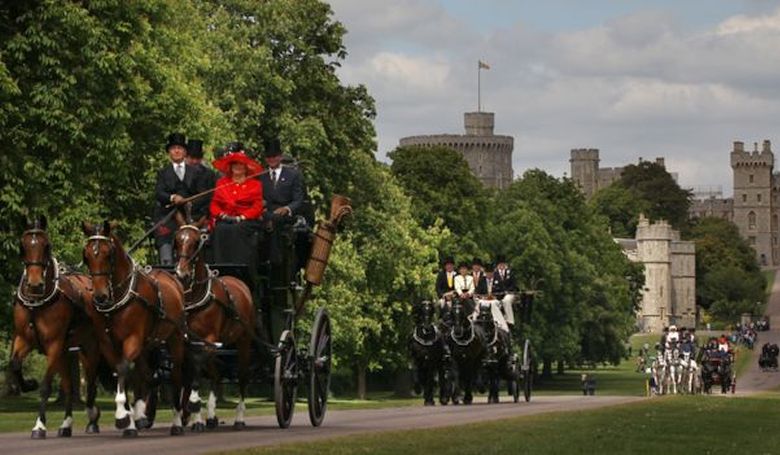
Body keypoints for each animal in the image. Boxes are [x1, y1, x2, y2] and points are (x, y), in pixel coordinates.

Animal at [9, 219, 103, 440]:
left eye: (46, 246)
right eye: (23, 245)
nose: (35, 283)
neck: (37, 303)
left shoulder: (53, 344)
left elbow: (46, 387)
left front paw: (39, 426)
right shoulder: (24, 339)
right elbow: (15, 365)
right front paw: (28, 384)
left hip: (90, 349)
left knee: (91, 383)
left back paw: (92, 418)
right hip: (65, 353)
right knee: (68, 386)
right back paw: (66, 424)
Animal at [81, 221, 189, 438]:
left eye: (108, 255)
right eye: (86, 256)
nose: (100, 297)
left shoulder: (132, 339)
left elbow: (124, 369)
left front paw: (122, 416)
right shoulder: (107, 343)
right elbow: (121, 371)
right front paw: (131, 419)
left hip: (174, 339)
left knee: (175, 376)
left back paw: (176, 422)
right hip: (147, 344)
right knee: (145, 374)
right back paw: (141, 413)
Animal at [171, 217, 254, 432]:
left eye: (195, 242)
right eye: (178, 240)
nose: (181, 273)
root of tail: (239, 282)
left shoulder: (208, 341)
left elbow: (196, 372)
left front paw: (193, 405)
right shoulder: (190, 343)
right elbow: (190, 372)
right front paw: (193, 416)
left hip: (244, 342)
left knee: (242, 377)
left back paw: (239, 418)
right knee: (216, 374)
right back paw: (210, 416)